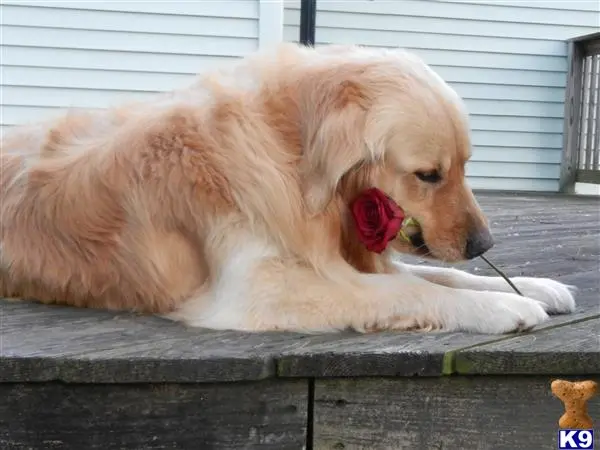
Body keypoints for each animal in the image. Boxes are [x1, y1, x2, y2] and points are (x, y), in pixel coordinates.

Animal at [1, 44, 576, 332]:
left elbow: (444, 277)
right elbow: (411, 288)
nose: (484, 245)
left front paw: (531, 287)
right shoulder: (259, 287)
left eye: (465, 166)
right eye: (428, 174)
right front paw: (504, 309)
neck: (288, 154)